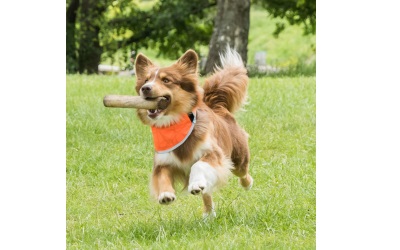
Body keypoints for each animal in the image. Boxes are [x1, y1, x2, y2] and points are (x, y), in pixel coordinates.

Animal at [134, 46, 253, 217]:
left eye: (166, 80)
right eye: (145, 80)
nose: (145, 88)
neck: (173, 125)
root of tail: (215, 107)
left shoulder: (213, 153)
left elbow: (198, 165)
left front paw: (195, 184)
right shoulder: (162, 162)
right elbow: (161, 176)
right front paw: (165, 194)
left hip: (238, 157)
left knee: (242, 172)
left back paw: (247, 184)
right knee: (207, 192)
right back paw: (209, 214)